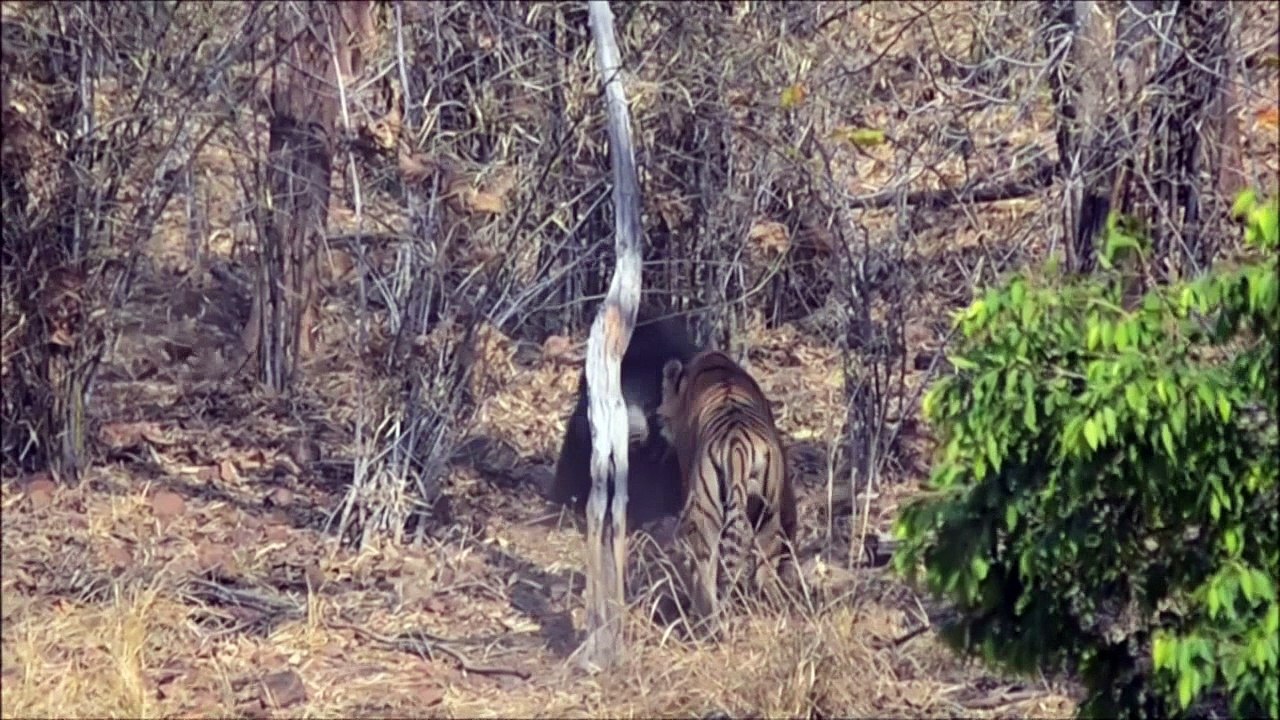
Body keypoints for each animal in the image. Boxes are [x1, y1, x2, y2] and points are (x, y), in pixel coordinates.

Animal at [656, 349, 799, 631]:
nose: (659, 421)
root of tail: (737, 449)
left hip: (709, 515)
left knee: (706, 573)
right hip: (766, 515)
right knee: (758, 575)